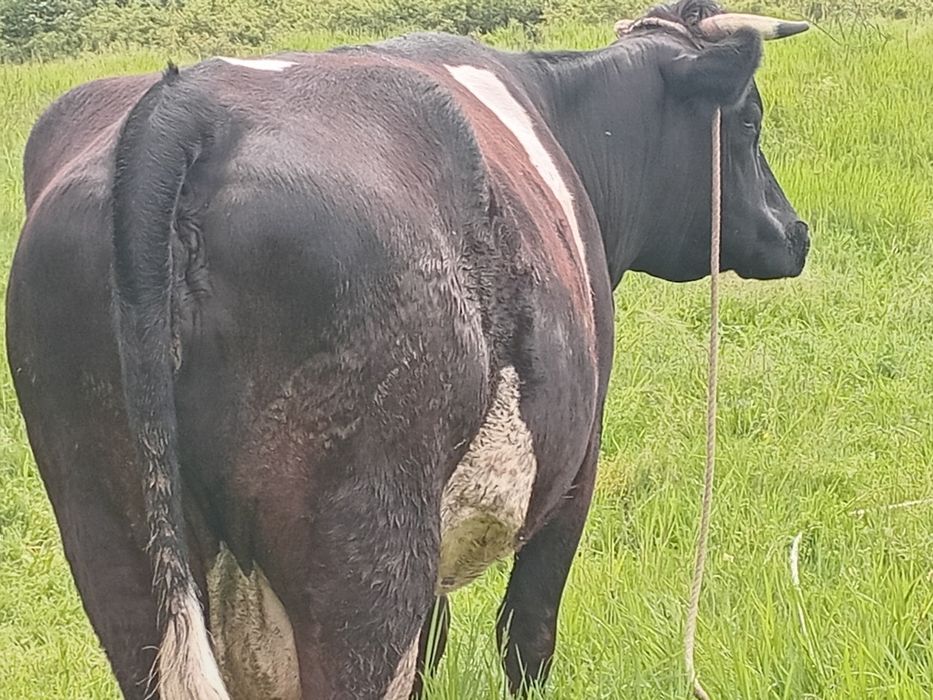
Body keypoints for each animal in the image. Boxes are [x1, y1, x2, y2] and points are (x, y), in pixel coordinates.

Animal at [6, 1, 810, 698]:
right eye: (748, 119)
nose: (795, 232)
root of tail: (190, 106)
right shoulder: (575, 468)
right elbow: (527, 633)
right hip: (364, 550)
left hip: (113, 539)